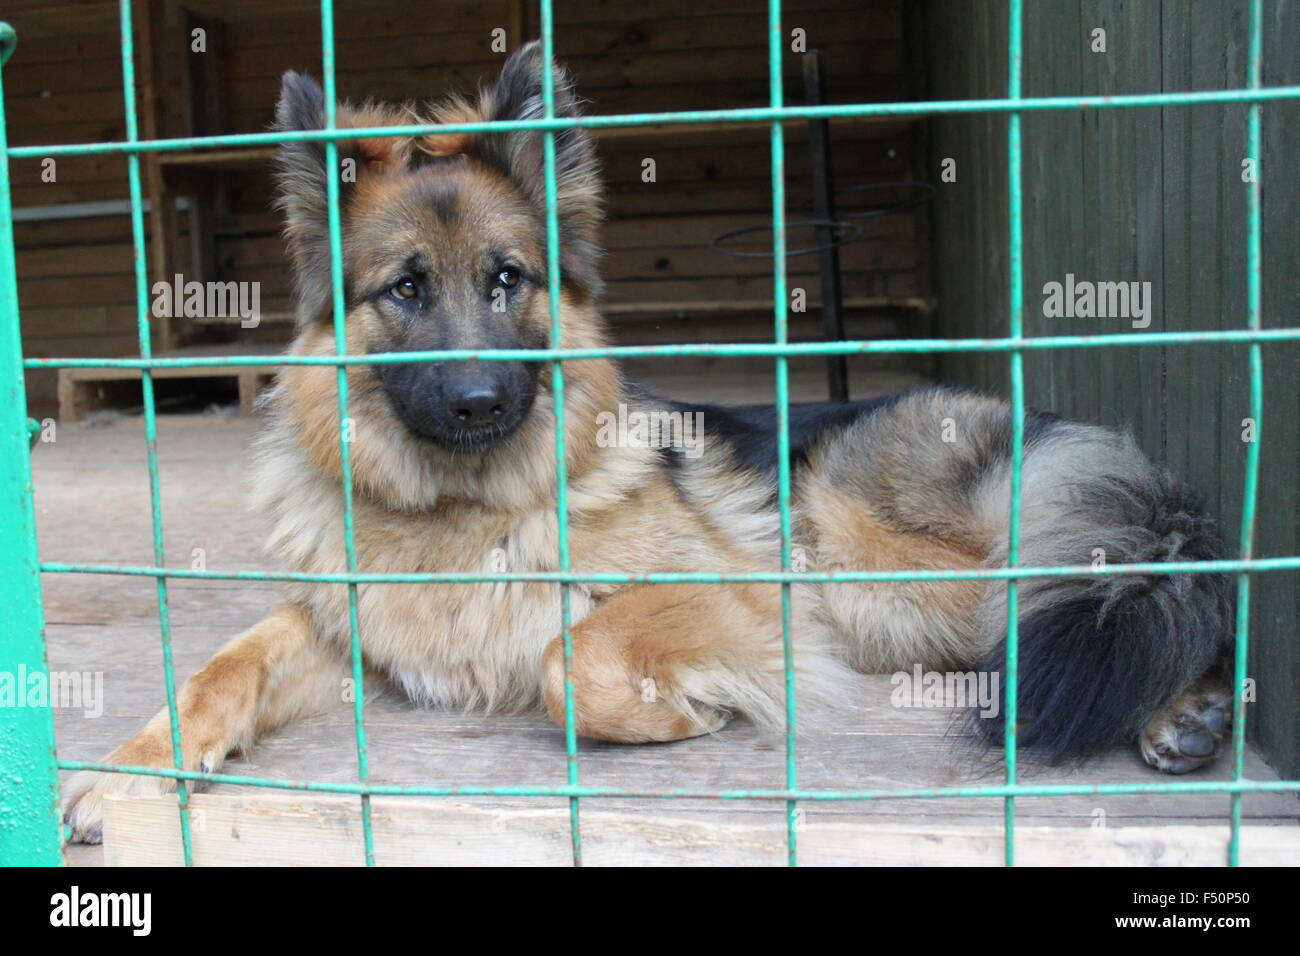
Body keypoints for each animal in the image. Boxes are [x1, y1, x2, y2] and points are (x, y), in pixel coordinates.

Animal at [65, 42, 1232, 842]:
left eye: (507, 279)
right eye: (404, 290)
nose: (482, 401)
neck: (461, 507)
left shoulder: (751, 595)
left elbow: (569, 656)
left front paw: (685, 713)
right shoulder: (343, 626)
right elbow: (216, 669)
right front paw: (131, 768)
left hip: (869, 560)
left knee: (1105, 604)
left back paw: (1183, 709)